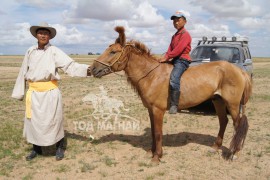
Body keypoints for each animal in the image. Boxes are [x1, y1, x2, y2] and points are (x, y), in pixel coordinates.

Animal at [90, 26, 251, 163]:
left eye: (113, 52)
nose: (92, 69)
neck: (151, 75)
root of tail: (240, 71)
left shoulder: (158, 110)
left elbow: (158, 132)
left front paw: (157, 157)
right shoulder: (150, 110)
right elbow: (153, 131)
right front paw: (151, 152)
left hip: (233, 104)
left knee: (238, 125)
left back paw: (234, 153)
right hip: (218, 101)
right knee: (223, 121)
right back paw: (215, 147)